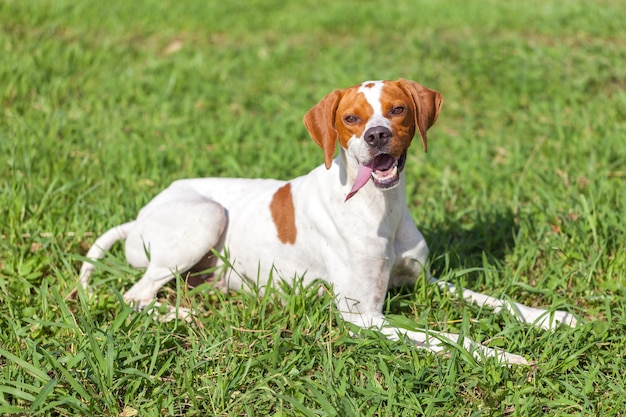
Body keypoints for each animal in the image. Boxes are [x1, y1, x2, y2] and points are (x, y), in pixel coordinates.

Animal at [78, 79, 576, 364]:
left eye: (397, 109)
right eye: (351, 118)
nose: (377, 136)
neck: (380, 208)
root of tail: (138, 217)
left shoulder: (425, 280)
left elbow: (493, 300)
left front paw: (550, 318)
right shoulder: (364, 317)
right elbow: (446, 336)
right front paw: (501, 354)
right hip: (206, 215)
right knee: (136, 295)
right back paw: (180, 313)